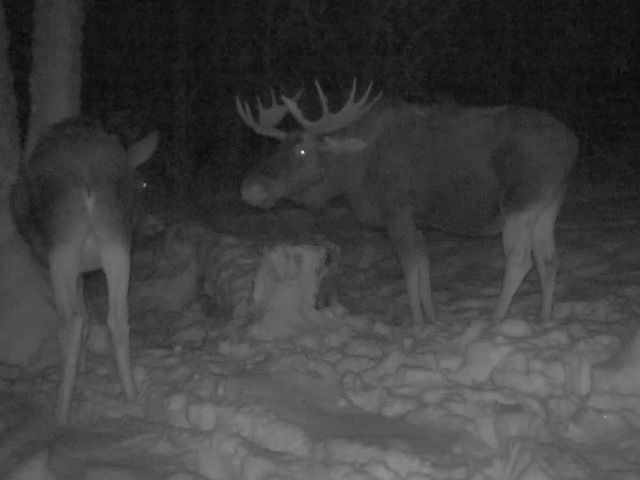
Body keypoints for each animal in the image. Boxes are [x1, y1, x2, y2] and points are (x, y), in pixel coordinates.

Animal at [10, 118, 159, 425]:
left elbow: (81, 316)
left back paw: (60, 415)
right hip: (116, 239)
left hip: (63, 242)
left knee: (70, 322)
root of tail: (87, 172)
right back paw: (133, 397)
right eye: (142, 182)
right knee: (118, 318)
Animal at [235, 79, 579, 325]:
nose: (250, 189)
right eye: (277, 146)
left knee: (520, 259)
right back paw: (545, 319)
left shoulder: (397, 210)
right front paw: (432, 318)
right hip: (549, 205)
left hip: (519, 203)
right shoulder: (418, 220)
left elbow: (410, 269)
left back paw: (495, 320)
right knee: (549, 259)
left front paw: (415, 323)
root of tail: (571, 147)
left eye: (303, 150)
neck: (355, 174)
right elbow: (424, 266)